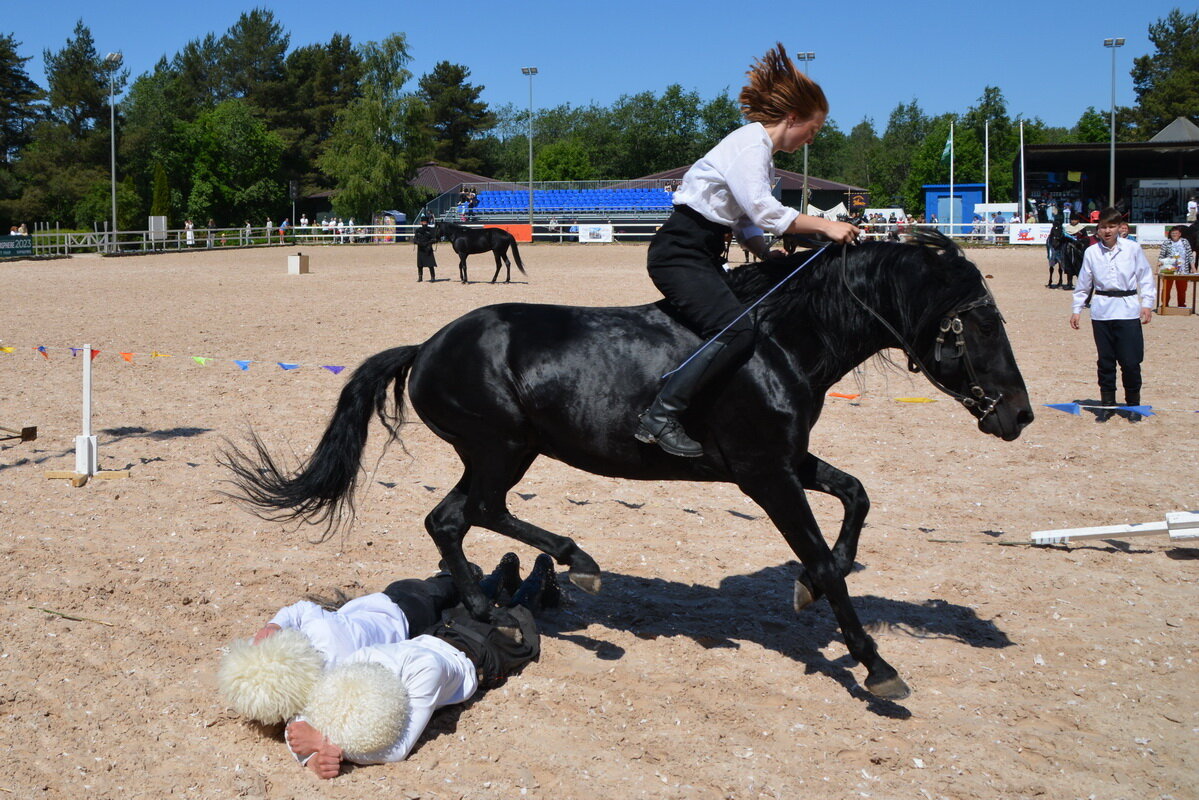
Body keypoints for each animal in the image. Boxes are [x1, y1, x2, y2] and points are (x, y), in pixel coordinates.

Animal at [229, 231, 1035, 700]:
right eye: (976, 324)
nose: (1019, 415)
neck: (782, 341)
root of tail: (425, 346)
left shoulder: (785, 461)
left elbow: (856, 498)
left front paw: (814, 589)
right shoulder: (765, 474)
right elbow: (824, 560)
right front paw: (874, 662)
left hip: (505, 451)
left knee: (461, 517)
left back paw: (523, 590)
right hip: (500, 448)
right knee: (461, 514)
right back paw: (541, 582)